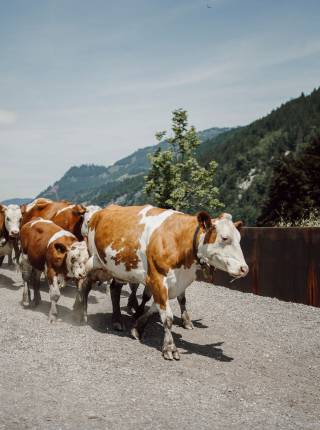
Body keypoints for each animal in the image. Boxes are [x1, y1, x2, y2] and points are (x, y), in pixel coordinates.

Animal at [74, 205, 249, 360]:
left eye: (240, 239)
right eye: (225, 238)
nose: (244, 269)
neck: (179, 240)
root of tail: (99, 212)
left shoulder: (173, 283)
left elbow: (156, 307)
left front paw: (138, 327)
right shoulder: (157, 278)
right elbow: (167, 317)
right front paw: (169, 348)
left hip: (117, 268)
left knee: (114, 289)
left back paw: (117, 320)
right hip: (95, 260)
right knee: (84, 282)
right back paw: (80, 314)